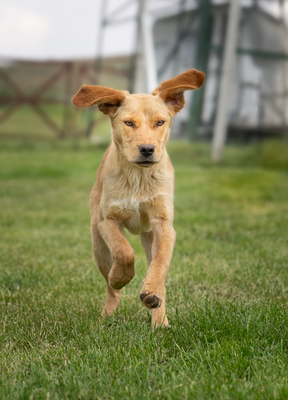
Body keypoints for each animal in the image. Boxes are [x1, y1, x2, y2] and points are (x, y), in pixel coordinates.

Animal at [73, 67, 205, 326]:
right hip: (98, 245)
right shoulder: (108, 220)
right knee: (111, 288)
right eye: (128, 123)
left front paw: (151, 292)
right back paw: (108, 312)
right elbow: (124, 251)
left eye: (160, 122)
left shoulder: (163, 224)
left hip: (149, 235)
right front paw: (120, 277)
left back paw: (159, 320)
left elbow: (160, 264)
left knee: (159, 274)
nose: (147, 149)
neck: (138, 177)